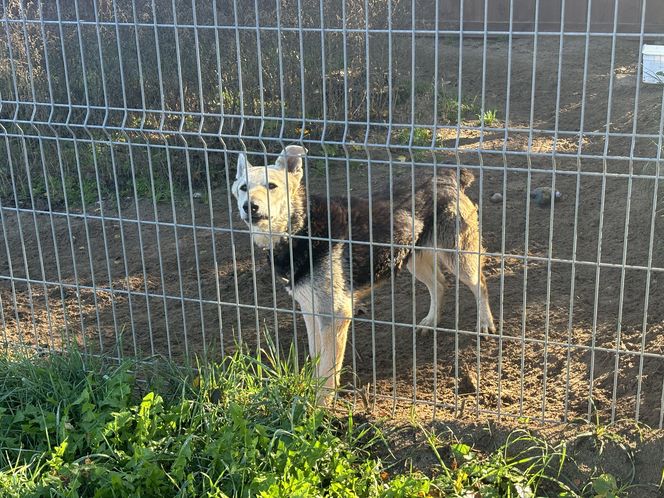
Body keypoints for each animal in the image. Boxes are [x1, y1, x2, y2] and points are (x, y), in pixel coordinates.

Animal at [231, 146, 496, 398]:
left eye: (272, 186)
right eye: (243, 188)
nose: (249, 207)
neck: (301, 228)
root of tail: (447, 175)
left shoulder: (336, 315)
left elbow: (328, 370)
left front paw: (320, 406)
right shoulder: (311, 310)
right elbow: (317, 360)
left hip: (459, 256)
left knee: (481, 283)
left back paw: (485, 323)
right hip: (412, 259)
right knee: (440, 284)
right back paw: (431, 321)